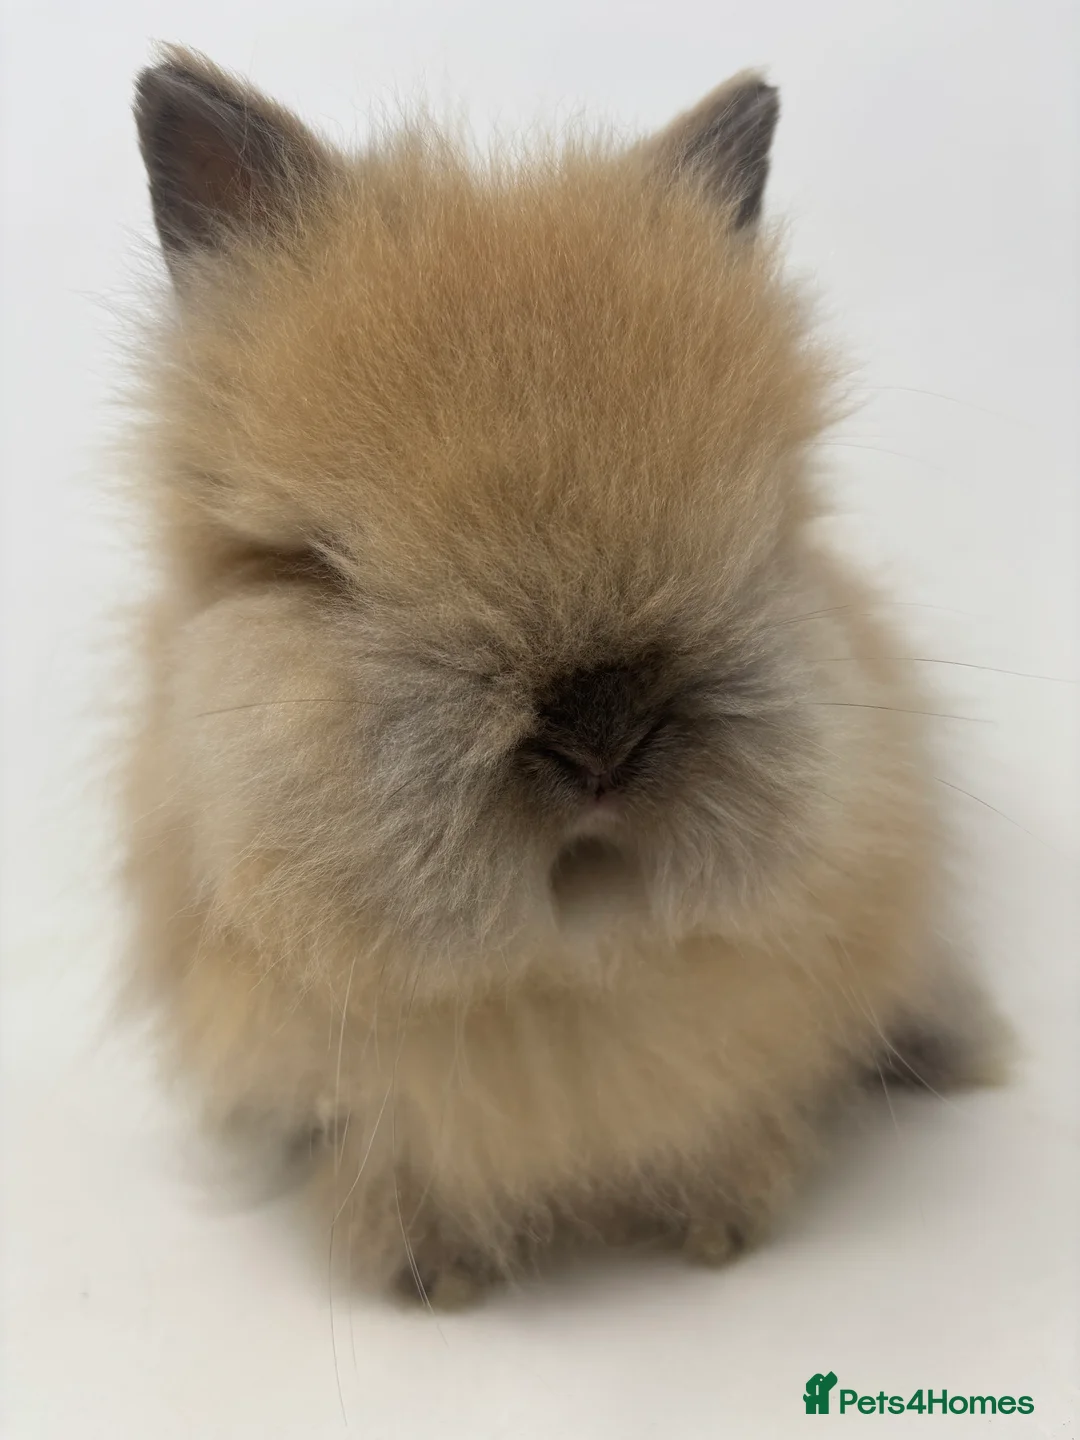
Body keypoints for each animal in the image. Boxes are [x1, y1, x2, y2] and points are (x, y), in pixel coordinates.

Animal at [122, 46, 1007, 1307]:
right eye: (323, 565)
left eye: (761, 530)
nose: (605, 734)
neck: (577, 958)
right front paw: (433, 1281)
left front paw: (723, 1229)